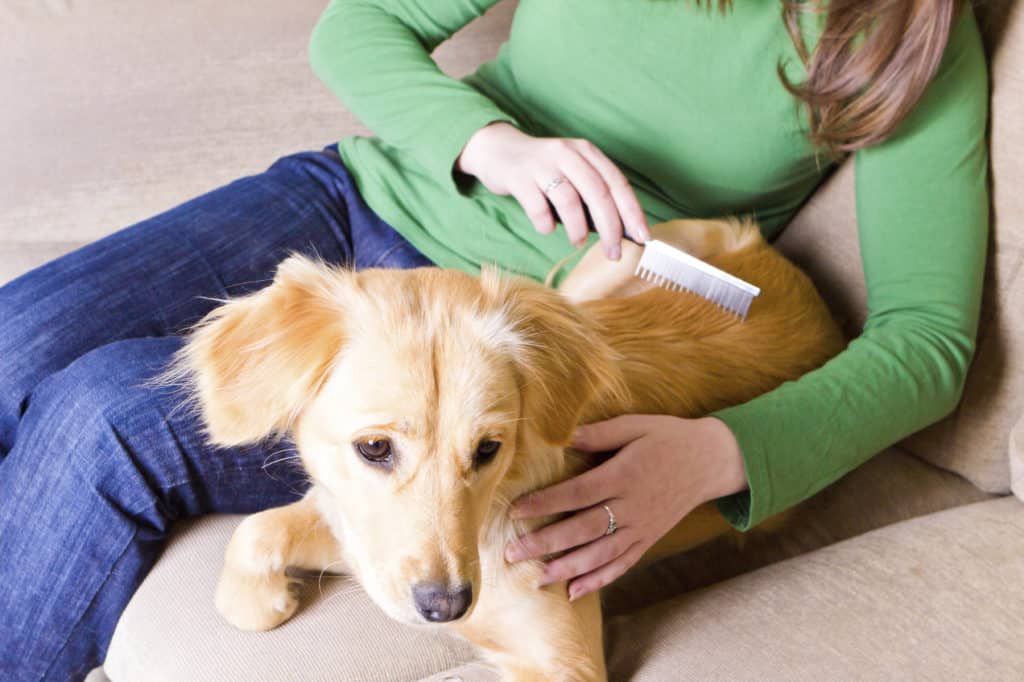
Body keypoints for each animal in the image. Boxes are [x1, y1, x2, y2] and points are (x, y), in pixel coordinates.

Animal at [169, 219, 847, 679]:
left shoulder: (564, 661)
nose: (446, 607)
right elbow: (255, 530)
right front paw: (257, 601)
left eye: (489, 448)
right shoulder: (358, 532)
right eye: (374, 448)